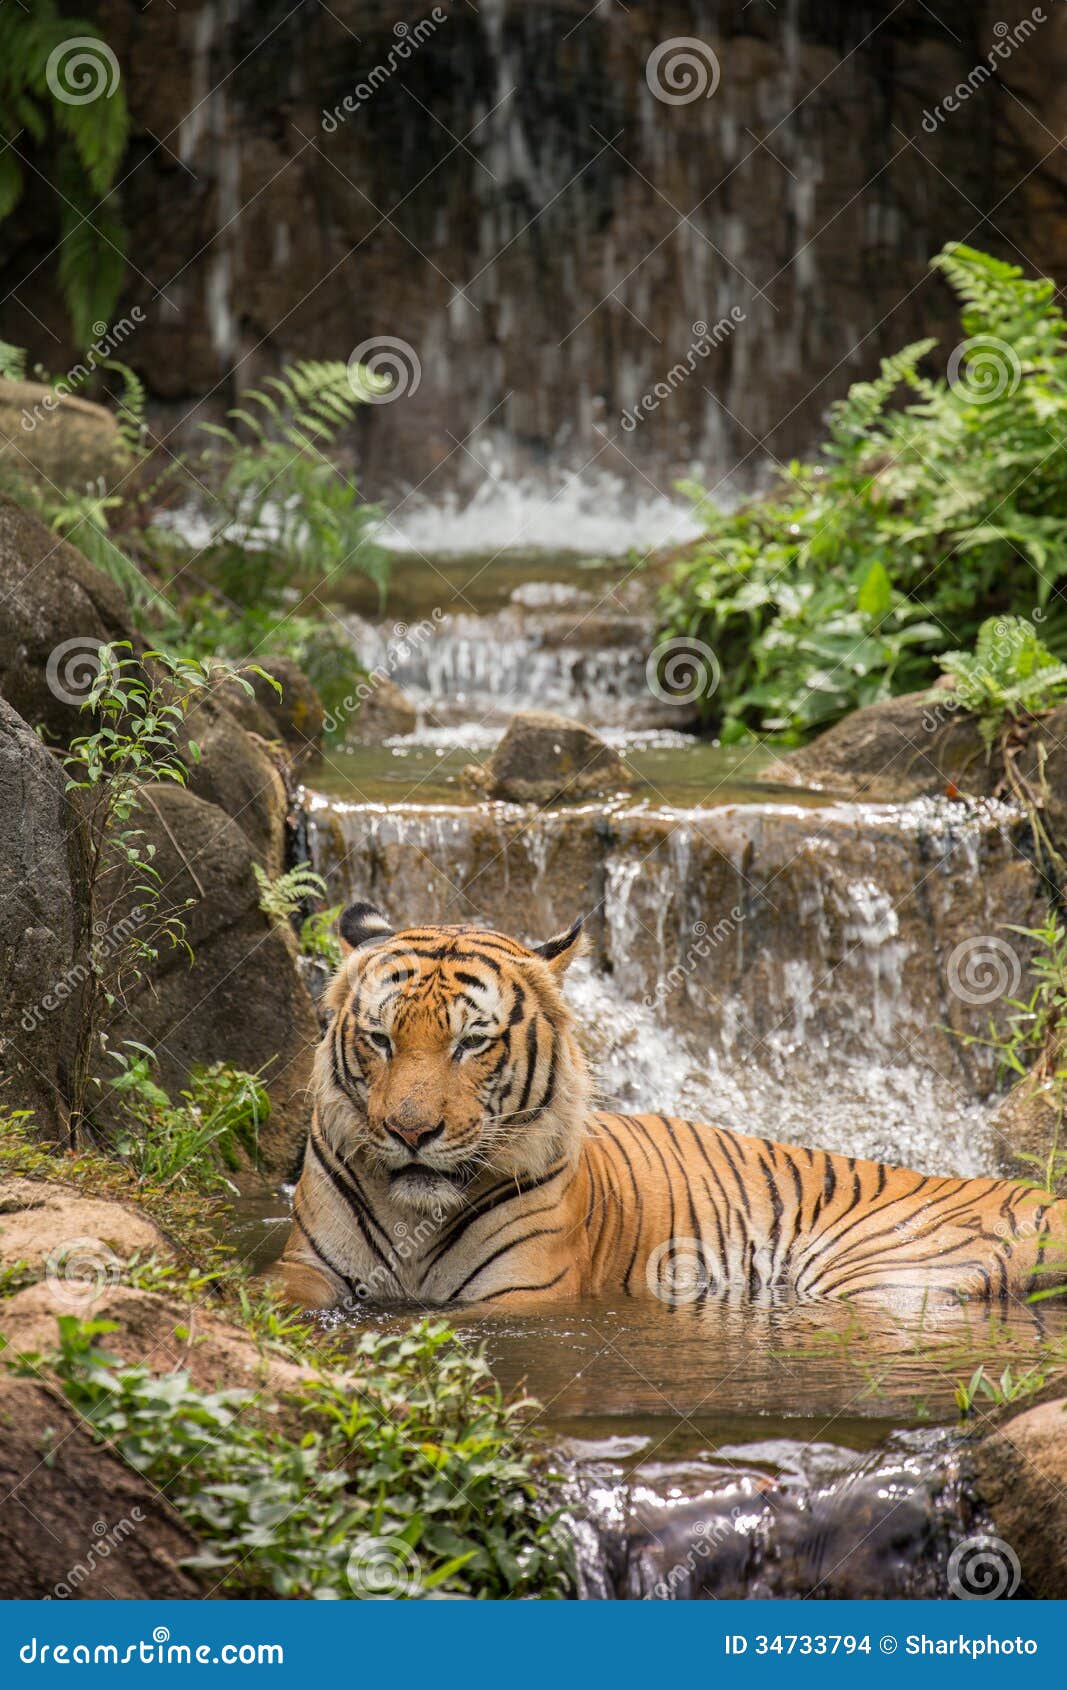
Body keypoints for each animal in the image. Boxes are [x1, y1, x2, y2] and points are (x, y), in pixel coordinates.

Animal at [273, 905, 1067, 1311]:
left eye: (472, 1043)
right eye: (380, 1037)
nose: (409, 1132)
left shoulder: (523, 1293)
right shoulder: (303, 1270)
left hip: (883, 1272)